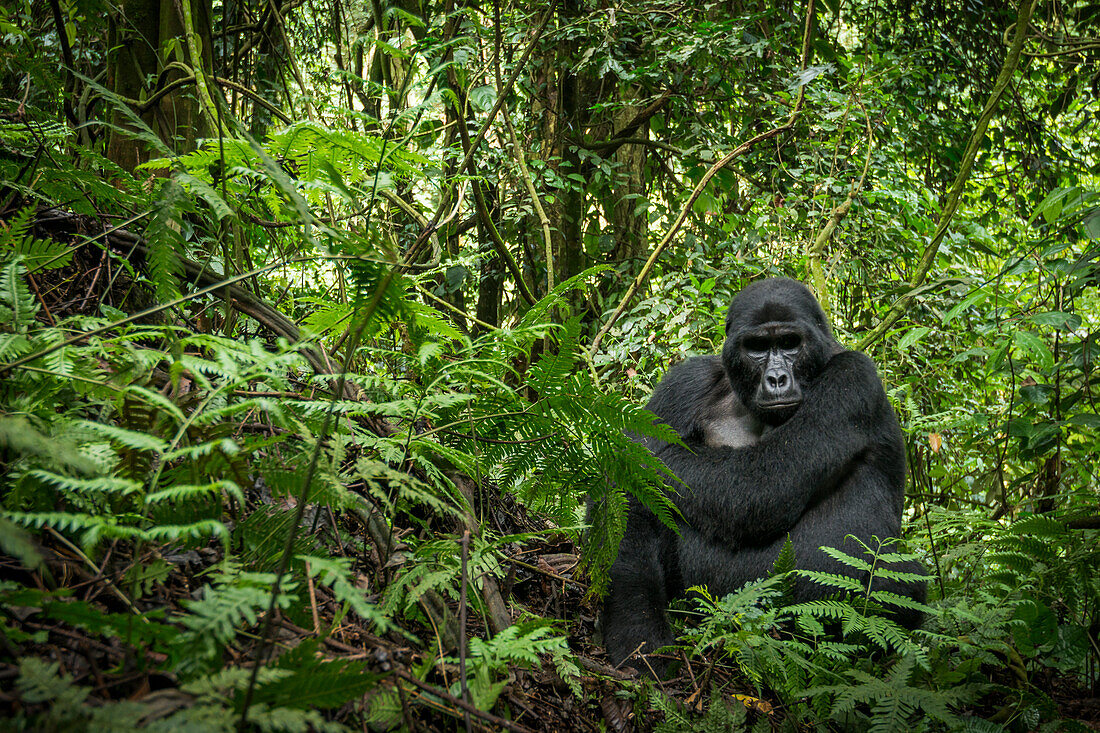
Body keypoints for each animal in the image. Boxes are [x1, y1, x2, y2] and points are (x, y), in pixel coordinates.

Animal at [607, 277, 924, 669]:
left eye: (789, 343)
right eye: (757, 348)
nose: (776, 378)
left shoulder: (854, 377)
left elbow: (760, 484)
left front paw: (628, 450)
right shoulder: (686, 380)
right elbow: (630, 491)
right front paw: (635, 626)